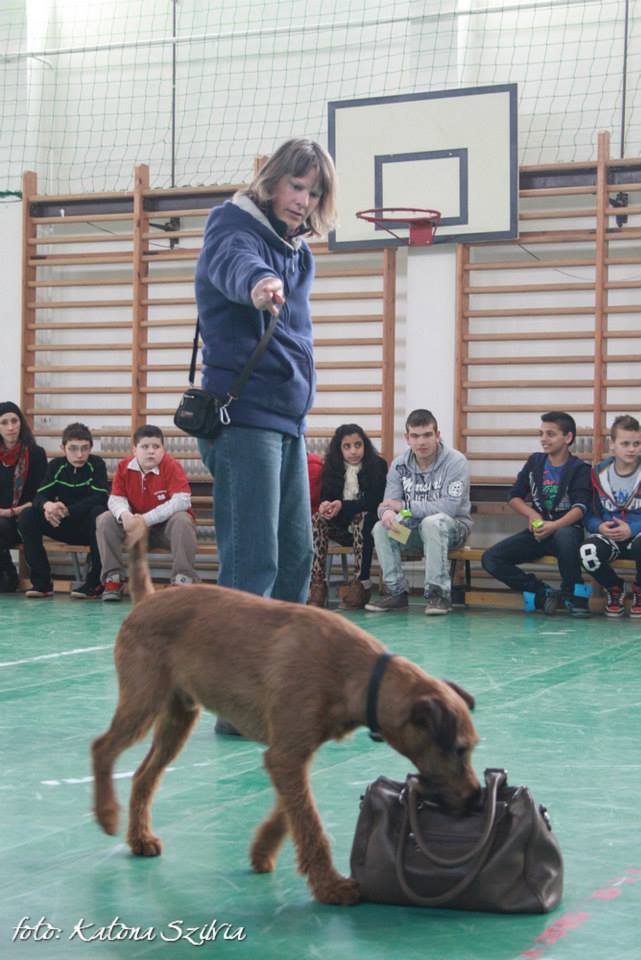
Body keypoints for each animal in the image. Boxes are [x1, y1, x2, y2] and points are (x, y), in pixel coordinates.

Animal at [92, 520, 478, 904]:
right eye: (459, 749)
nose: (475, 798)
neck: (358, 674)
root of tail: (147, 598)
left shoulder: (291, 757)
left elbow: (289, 813)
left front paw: (262, 850)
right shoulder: (287, 755)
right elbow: (309, 823)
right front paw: (330, 885)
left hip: (177, 719)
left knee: (143, 775)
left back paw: (139, 838)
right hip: (142, 704)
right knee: (102, 747)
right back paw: (106, 814)